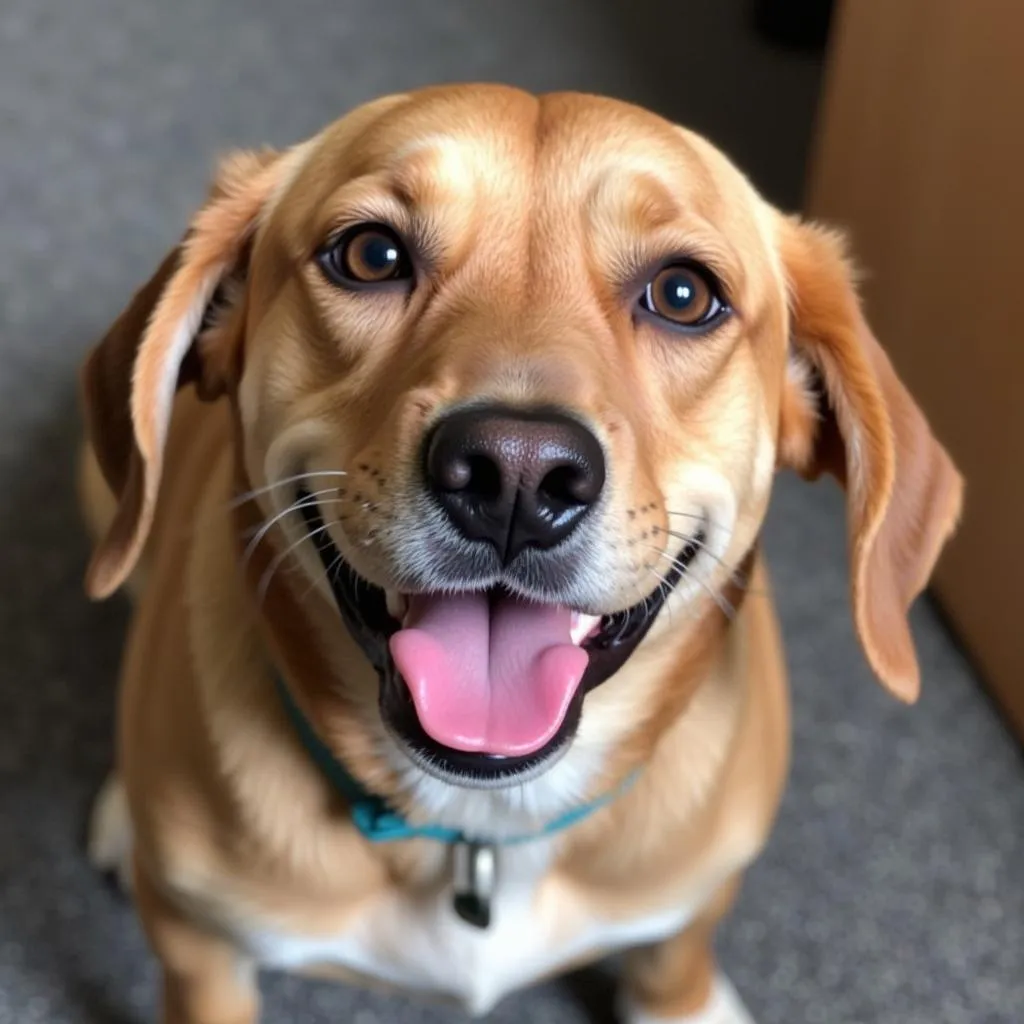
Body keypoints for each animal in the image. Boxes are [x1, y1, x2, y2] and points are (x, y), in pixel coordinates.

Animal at [77, 88, 958, 1024]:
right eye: (370, 254)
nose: (515, 475)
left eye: (684, 294)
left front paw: (684, 1001)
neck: (484, 824)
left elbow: (675, 953)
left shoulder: (697, 888)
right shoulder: (198, 955)